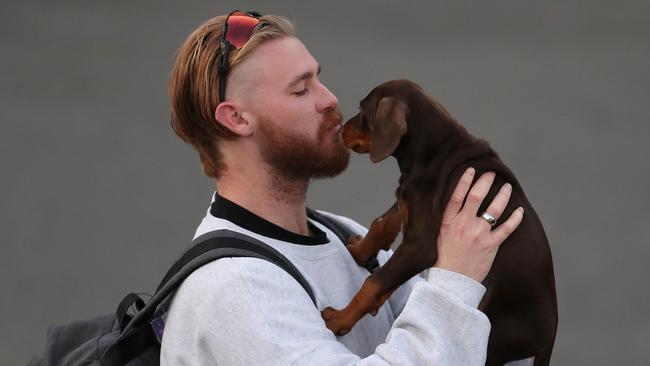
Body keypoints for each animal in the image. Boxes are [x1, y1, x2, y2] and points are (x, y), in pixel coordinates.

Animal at [322, 78, 556, 364]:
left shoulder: (421, 246)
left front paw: (338, 319)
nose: (340, 130)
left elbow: (374, 282)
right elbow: (384, 222)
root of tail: (551, 329)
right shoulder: (409, 195)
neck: (432, 151)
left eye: (362, 110)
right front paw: (358, 249)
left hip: (495, 336)